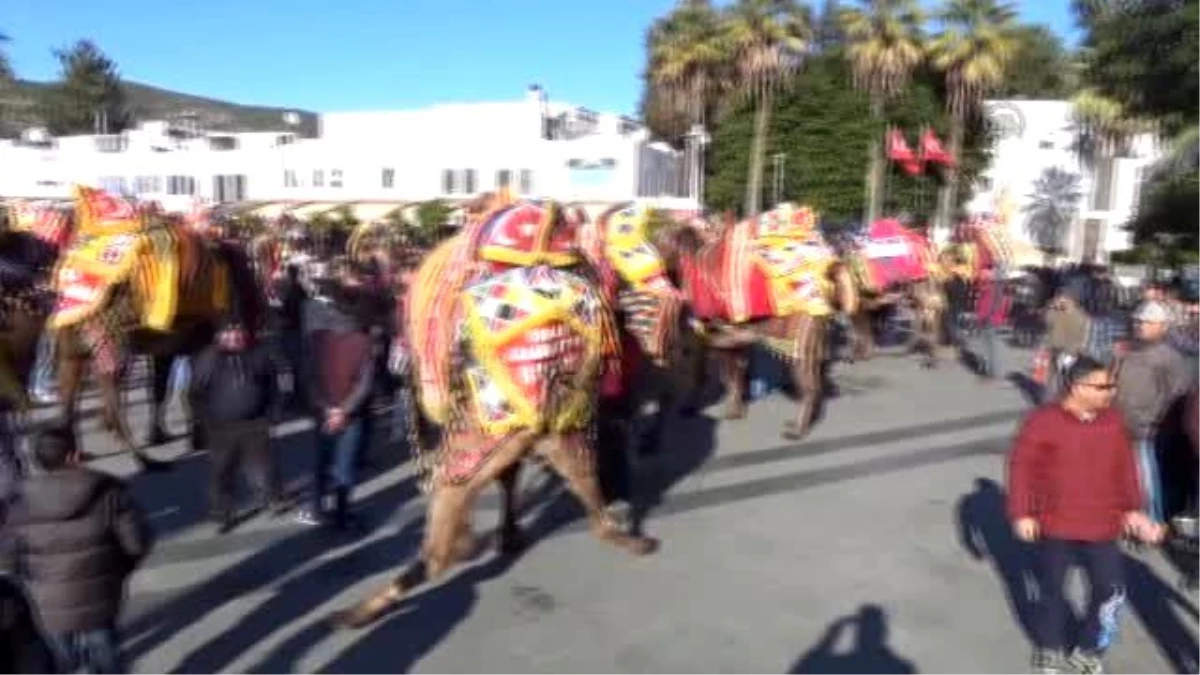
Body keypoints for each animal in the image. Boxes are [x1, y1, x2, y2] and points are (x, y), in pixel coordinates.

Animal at [331, 196, 657, 629]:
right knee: (578, 477)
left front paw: (493, 537)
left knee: (441, 537)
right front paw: (507, 534)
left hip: (496, 424)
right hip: (542, 417)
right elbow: (513, 477)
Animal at [652, 201, 859, 439]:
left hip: (802, 343)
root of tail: (830, 278)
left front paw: (692, 407)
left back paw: (797, 429)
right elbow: (735, 376)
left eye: (660, 238)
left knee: (811, 386)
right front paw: (735, 411)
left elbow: (713, 376)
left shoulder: (707, 340)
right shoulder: (730, 341)